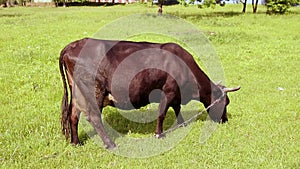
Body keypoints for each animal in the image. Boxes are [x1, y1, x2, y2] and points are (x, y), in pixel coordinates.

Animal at [59, 37, 241, 149]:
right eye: (225, 102)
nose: (224, 120)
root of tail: (71, 46)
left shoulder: (176, 95)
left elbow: (177, 109)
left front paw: (182, 124)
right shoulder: (168, 91)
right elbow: (162, 113)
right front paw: (159, 134)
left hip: (77, 92)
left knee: (73, 115)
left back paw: (76, 142)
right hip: (95, 90)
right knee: (93, 117)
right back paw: (110, 144)